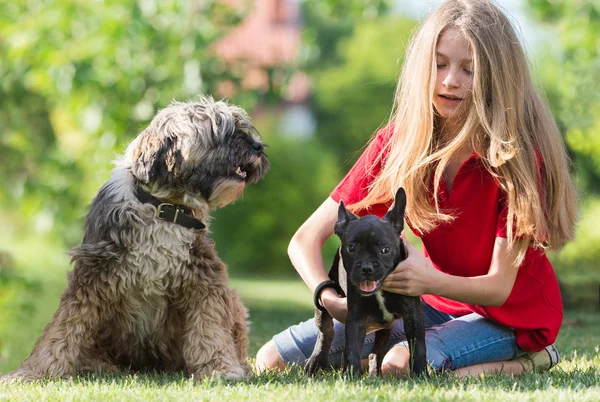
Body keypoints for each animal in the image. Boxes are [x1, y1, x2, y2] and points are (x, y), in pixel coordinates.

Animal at [2, 96, 270, 382]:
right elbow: (64, 325)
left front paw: (220, 367)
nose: (258, 147)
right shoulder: (92, 274)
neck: (164, 207)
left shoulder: (204, 278)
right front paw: (36, 371)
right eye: (220, 129)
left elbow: (210, 328)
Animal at [304, 188, 426, 376]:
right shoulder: (356, 318)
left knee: (377, 351)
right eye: (351, 248)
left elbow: (418, 347)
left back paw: (375, 373)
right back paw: (315, 362)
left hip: (385, 328)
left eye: (385, 250)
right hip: (323, 304)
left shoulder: (413, 317)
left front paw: (421, 374)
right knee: (325, 332)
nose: (366, 267)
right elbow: (352, 347)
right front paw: (351, 374)